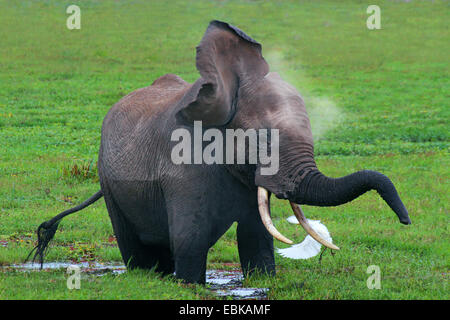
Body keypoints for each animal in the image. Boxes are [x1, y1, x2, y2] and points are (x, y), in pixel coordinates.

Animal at [26, 21, 410, 284]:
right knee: (136, 246)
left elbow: (256, 238)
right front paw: (190, 285)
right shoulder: (183, 168)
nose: (405, 220)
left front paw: (262, 282)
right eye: (262, 142)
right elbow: (190, 240)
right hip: (109, 182)